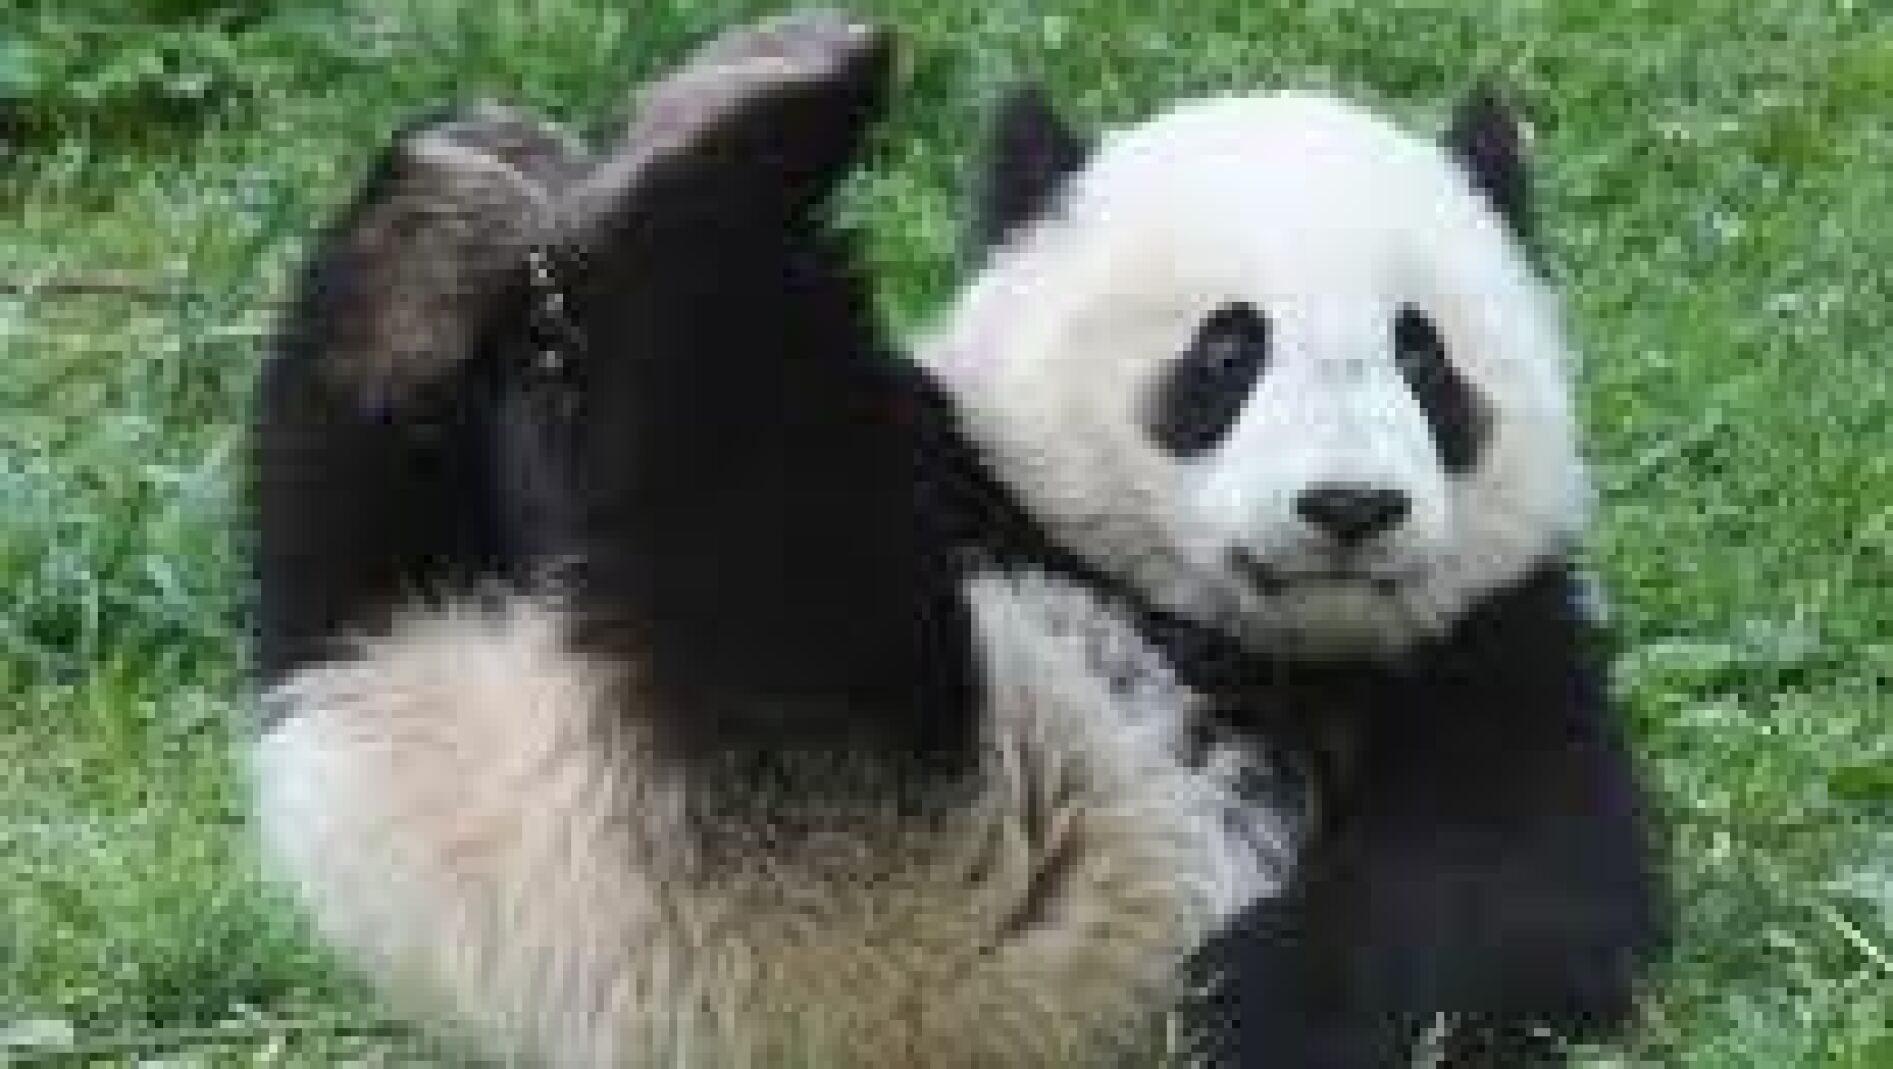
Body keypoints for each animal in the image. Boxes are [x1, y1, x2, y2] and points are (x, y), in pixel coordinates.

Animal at [250, 10, 1663, 1069]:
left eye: (1425, 359)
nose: (1351, 508)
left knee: (764, 539)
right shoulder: (975, 469)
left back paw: (687, 164)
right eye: (1226, 352)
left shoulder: (1493, 644)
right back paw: (483, 211)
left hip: (876, 827)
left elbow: (1516, 886)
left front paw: (1237, 1003)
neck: (1226, 632)